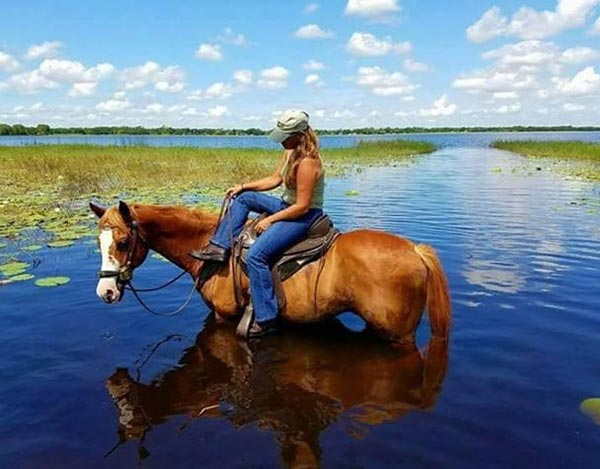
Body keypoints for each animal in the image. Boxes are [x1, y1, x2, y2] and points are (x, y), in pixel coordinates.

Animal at [86, 199, 448, 342]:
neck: (208, 247)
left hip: (398, 335)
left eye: (122, 242)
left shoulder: (223, 316)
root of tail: (414, 250)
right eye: (98, 242)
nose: (105, 292)